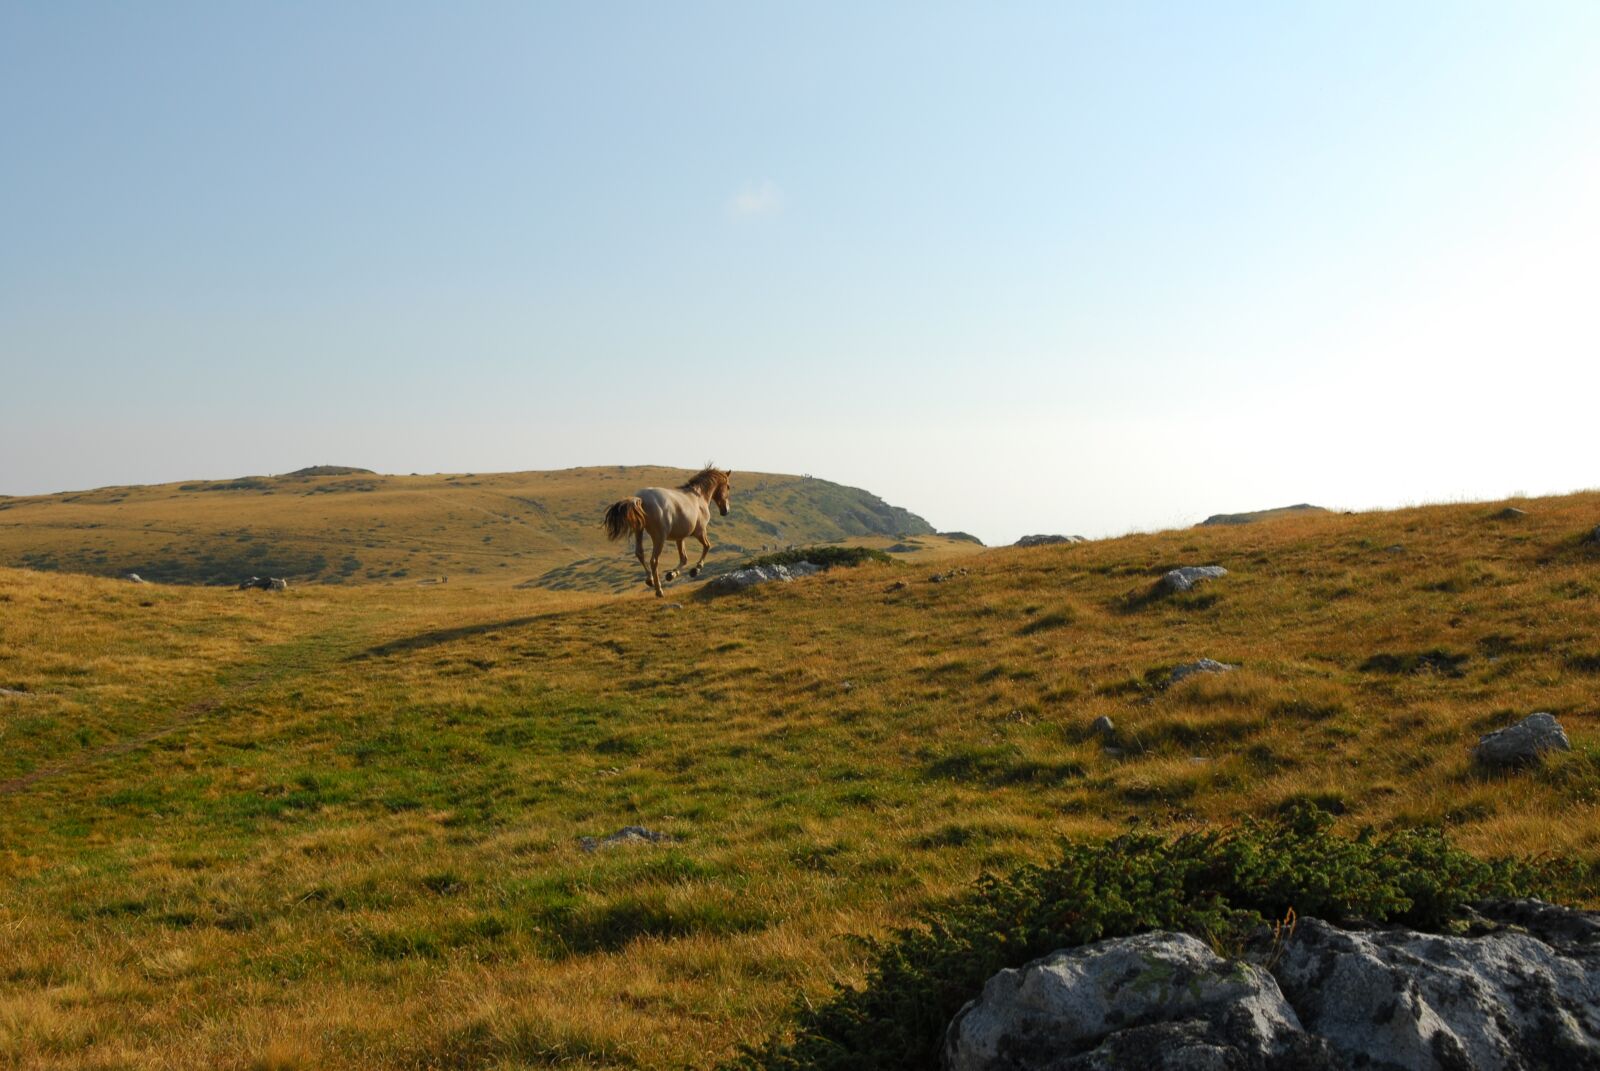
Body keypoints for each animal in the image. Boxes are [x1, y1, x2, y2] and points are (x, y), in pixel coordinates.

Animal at [602, 465, 732, 597]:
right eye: (728, 486)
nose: (726, 511)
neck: (698, 497)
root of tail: (641, 499)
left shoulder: (680, 537)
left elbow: (684, 559)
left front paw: (671, 574)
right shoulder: (700, 531)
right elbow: (707, 546)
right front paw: (696, 570)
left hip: (639, 531)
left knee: (640, 553)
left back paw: (649, 580)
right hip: (659, 537)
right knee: (654, 561)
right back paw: (659, 590)